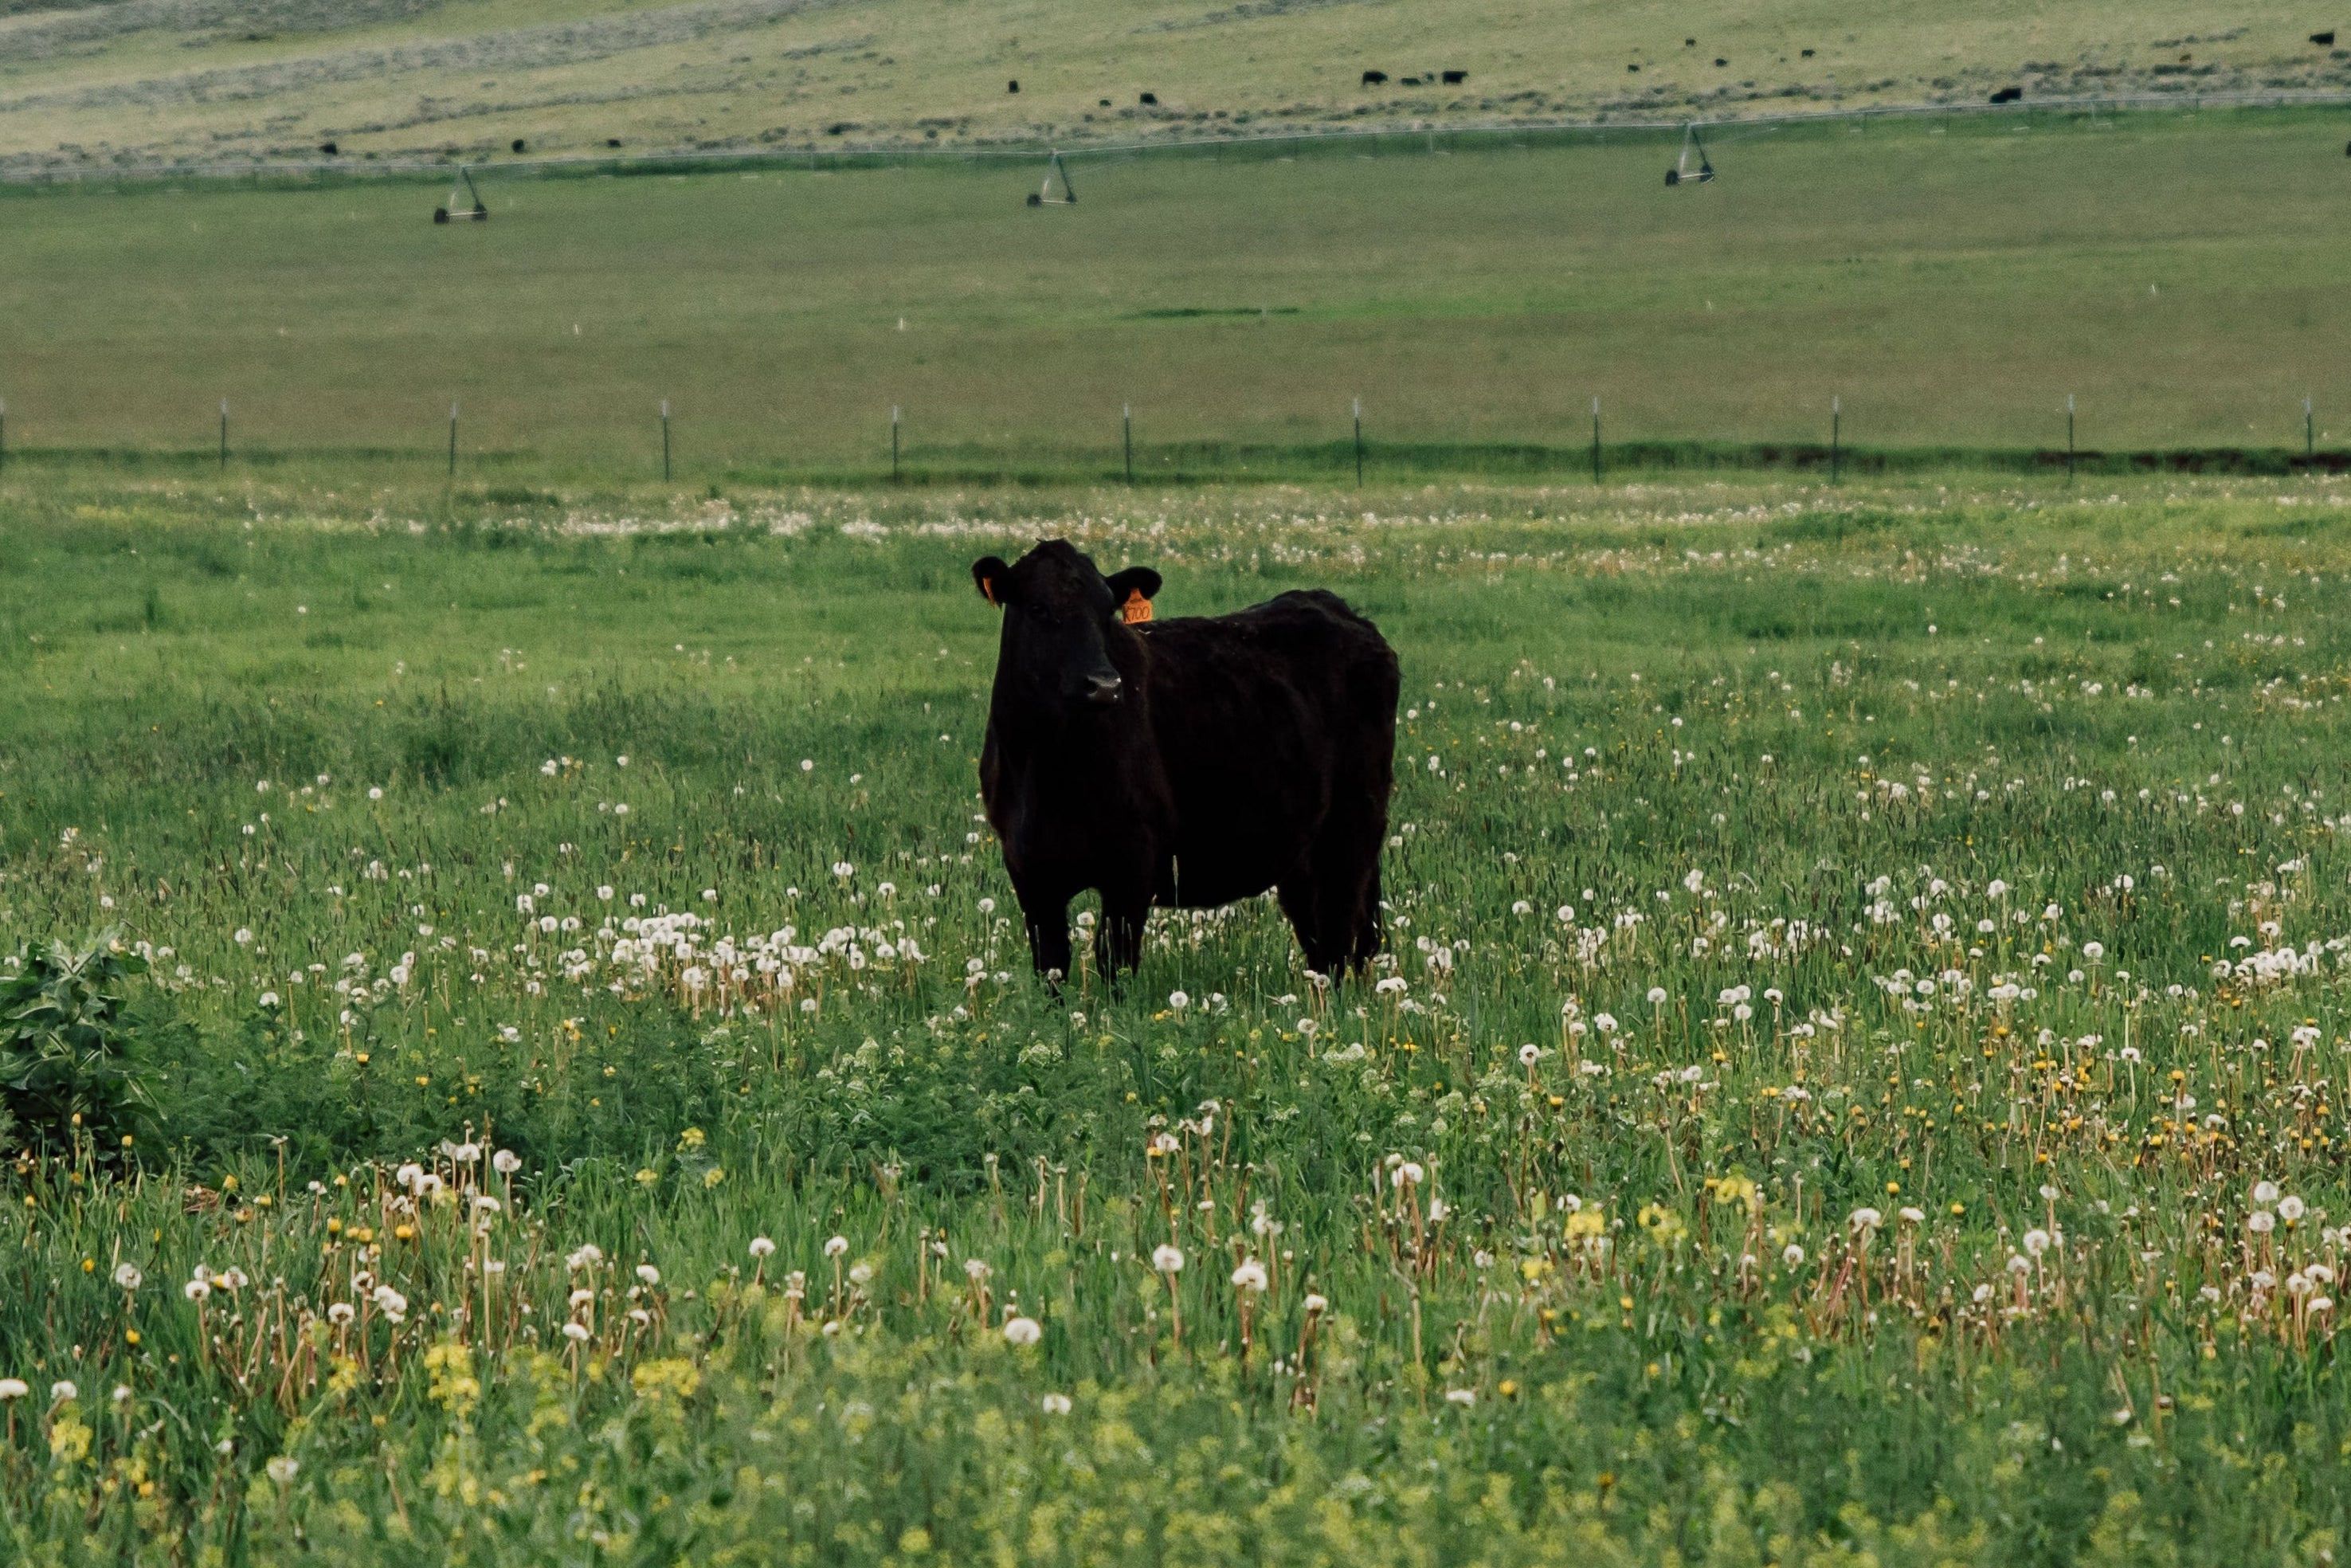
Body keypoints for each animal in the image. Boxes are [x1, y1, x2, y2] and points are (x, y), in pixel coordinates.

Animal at [971, 540, 1399, 984]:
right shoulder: (1030, 872)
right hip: (1301, 843)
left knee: (1339, 933)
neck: (1046, 767)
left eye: (1107, 611)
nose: (1104, 685)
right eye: (1038, 608)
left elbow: (1115, 967)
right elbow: (1052, 968)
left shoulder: (1133, 865)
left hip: (1353, 824)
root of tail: (1335, 606)